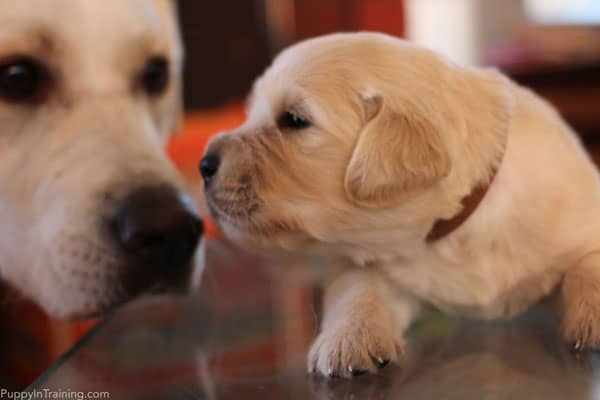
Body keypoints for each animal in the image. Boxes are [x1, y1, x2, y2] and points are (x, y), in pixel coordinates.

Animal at [200, 32, 600, 378]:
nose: (204, 164)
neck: (446, 234)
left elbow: (588, 265)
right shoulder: (362, 266)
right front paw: (348, 342)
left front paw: (591, 321)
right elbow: (358, 290)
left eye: (294, 120)